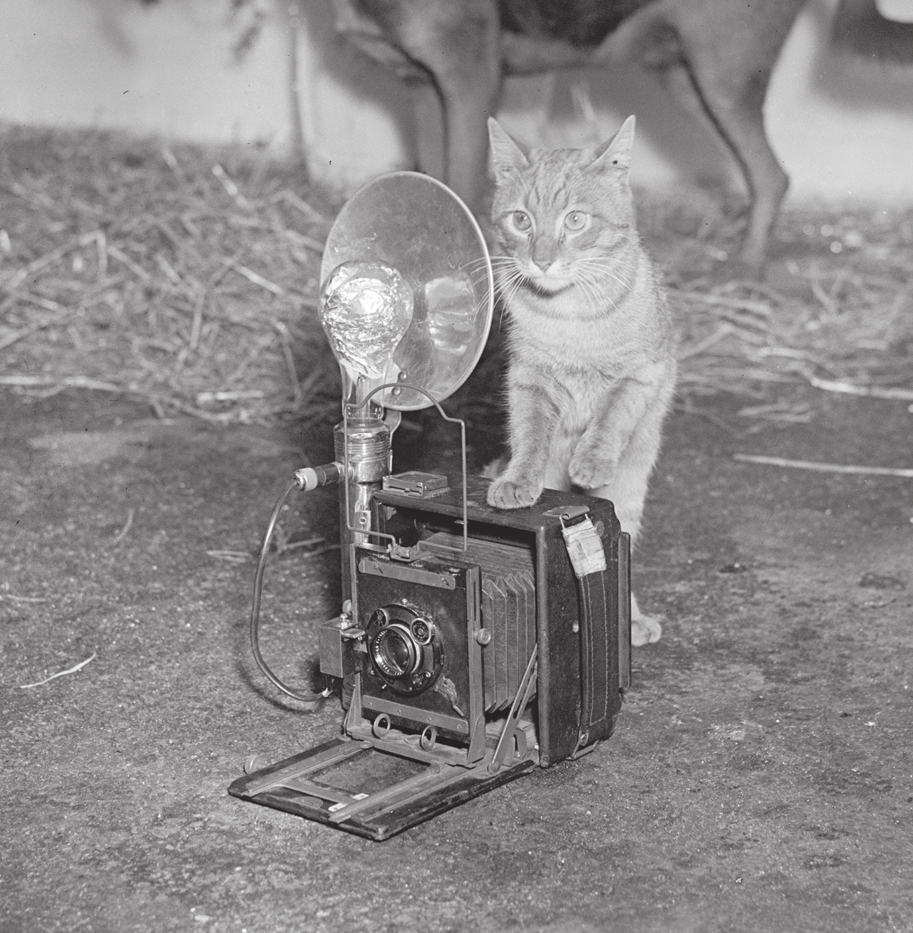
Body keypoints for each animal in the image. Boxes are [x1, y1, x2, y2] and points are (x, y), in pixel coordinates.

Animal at [484, 115, 677, 647]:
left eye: (575, 221)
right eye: (521, 221)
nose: (542, 259)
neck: (569, 317)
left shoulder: (639, 377)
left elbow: (610, 418)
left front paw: (591, 461)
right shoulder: (528, 382)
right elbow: (530, 438)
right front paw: (519, 480)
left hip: (629, 492)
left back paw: (631, 619)